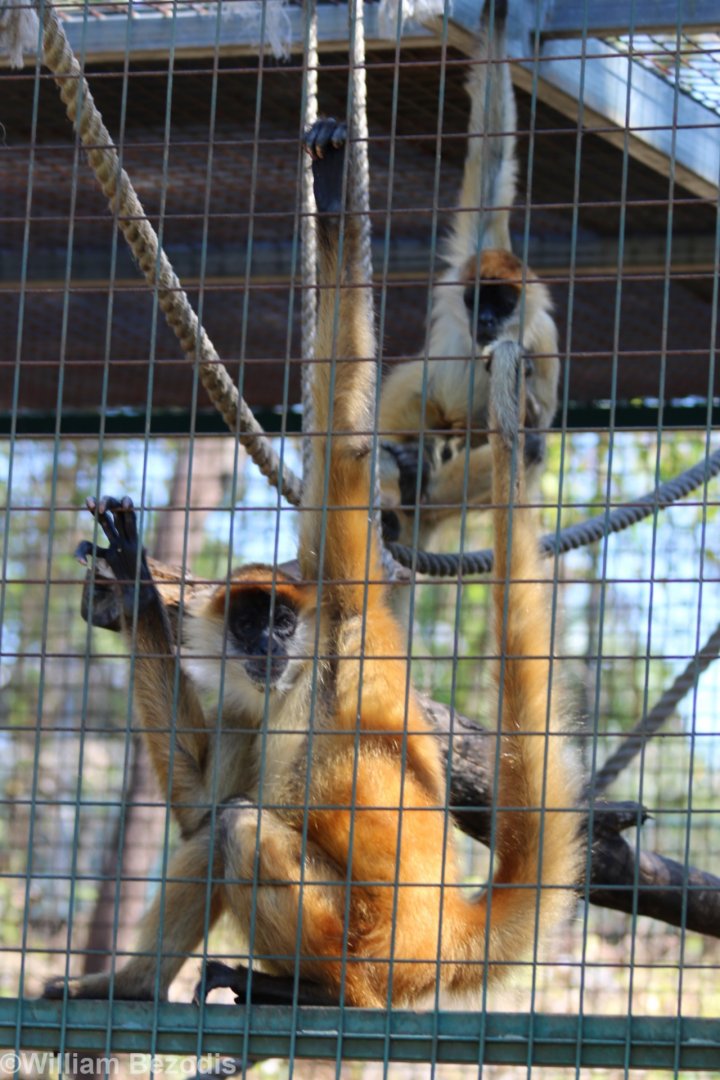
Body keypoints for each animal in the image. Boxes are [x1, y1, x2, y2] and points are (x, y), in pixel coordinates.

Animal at [45, 118, 579, 1007]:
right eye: (249, 622)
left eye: (283, 621)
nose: (265, 644)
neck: (300, 678)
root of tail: (445, 932)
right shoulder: (244, 698)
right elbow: (197, 810)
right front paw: (136, 587)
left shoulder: (344, 604)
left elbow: (347, 450)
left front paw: (332, 197)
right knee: (222, 821)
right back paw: (132, 986)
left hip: (361, 939)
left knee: (243, 830)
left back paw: (303, 993)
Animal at [379, 0, 559, 548]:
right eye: (478, 302)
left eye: (503, 305)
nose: (484, 322)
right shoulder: (473, 253)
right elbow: (493, 157)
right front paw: (497, 23)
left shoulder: (544, 335)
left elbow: (539, 423)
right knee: (416, 384)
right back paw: (405, 478)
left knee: (529, 448)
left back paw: (413, 490)